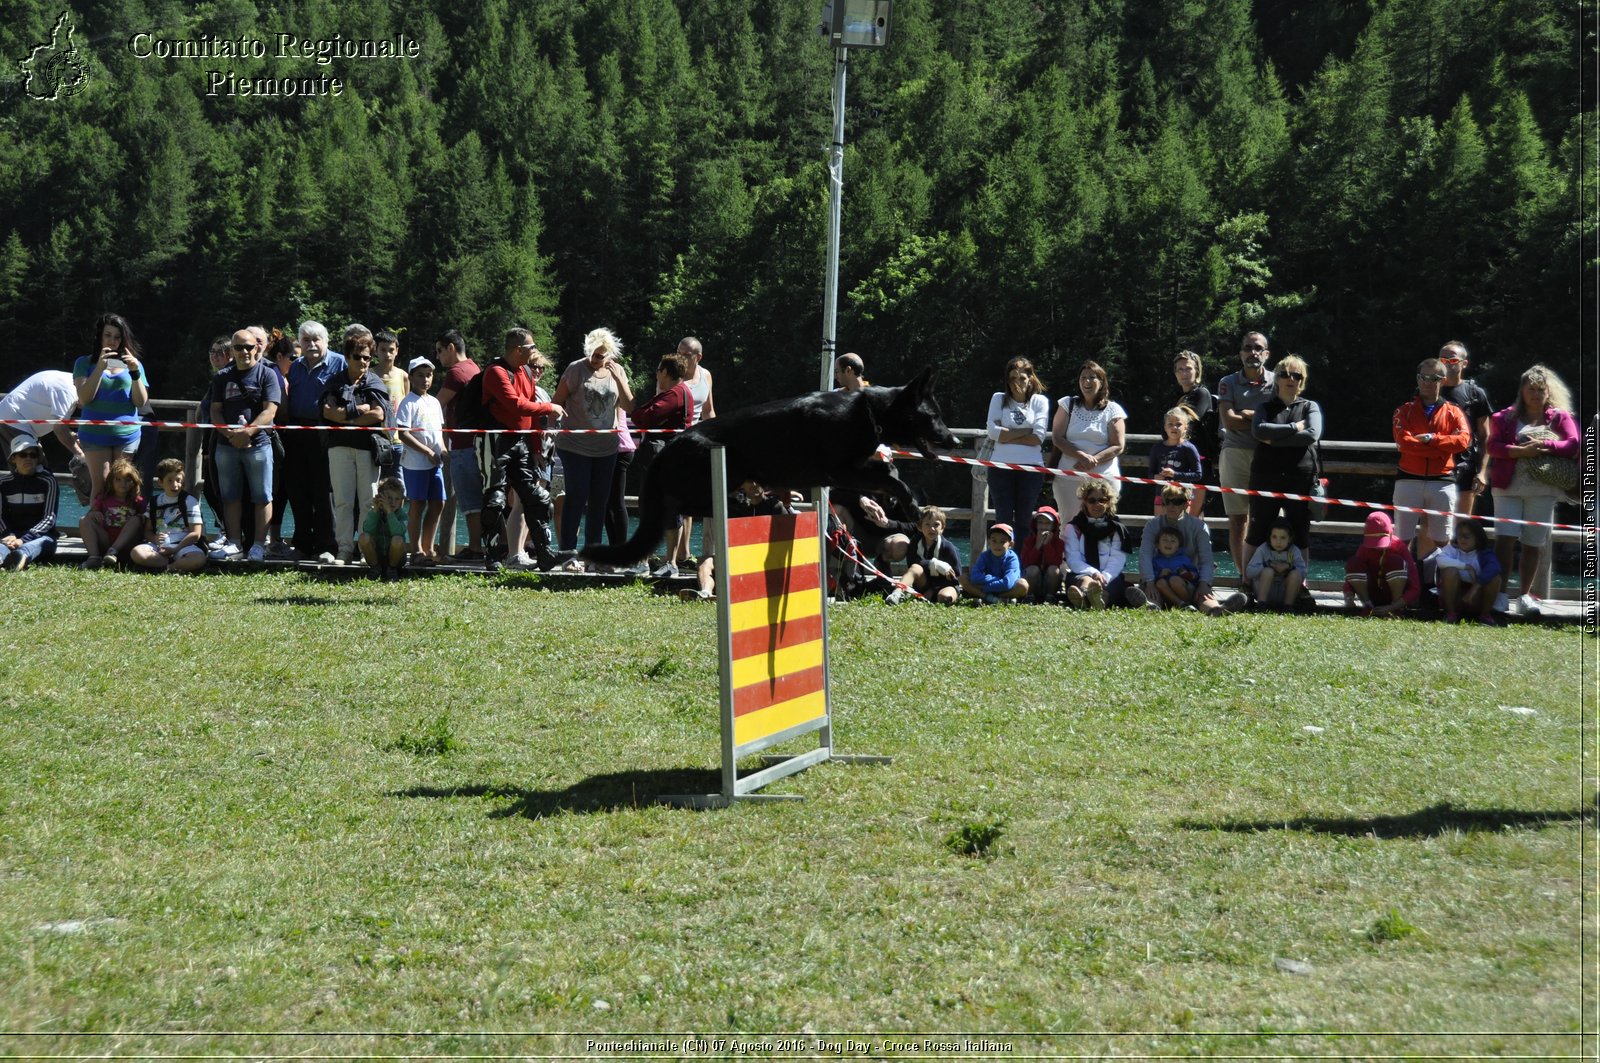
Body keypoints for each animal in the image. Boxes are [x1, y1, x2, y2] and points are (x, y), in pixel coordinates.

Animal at [588, 365, 960, 563]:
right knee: (695, 506)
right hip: (720, 468)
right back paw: (749, 501)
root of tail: (668, 449)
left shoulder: (854, 469)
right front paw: (910, 505)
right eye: (933, 417)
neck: (871, 411)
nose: (955, 442)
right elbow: (892, 479)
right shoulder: (842, 471)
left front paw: (904, 501)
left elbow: (891, 473)